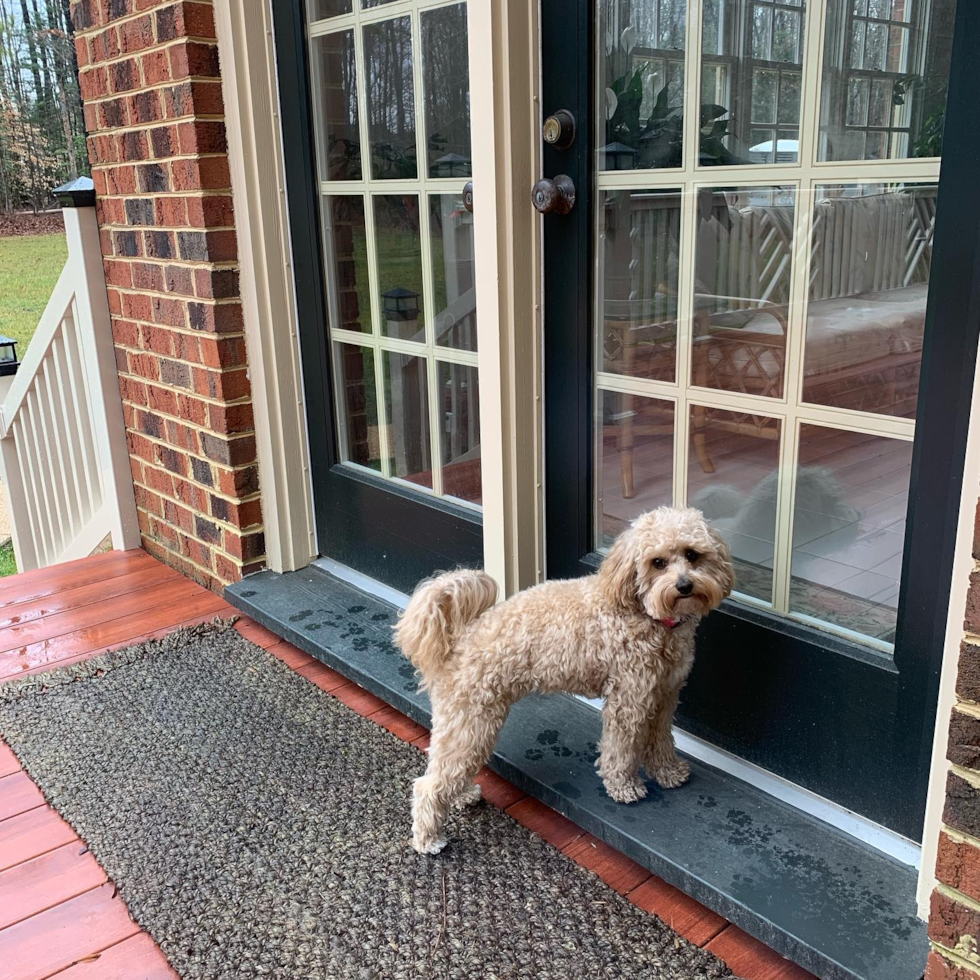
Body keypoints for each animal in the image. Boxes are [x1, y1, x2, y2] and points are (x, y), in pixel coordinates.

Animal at [394, 510, 732, 852]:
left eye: (692, 554)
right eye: (658, 562)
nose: (684, 585)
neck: (645, 614)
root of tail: (460, 639)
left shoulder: (664, 696)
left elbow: (661, 740)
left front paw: (668, 772)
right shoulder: (629, 699)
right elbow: (620, 749)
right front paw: (623, 786)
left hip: (468, 724)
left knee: (449, 769)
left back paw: (463, 795)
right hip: (471, 720)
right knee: (429, 783)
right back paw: (428, 839)